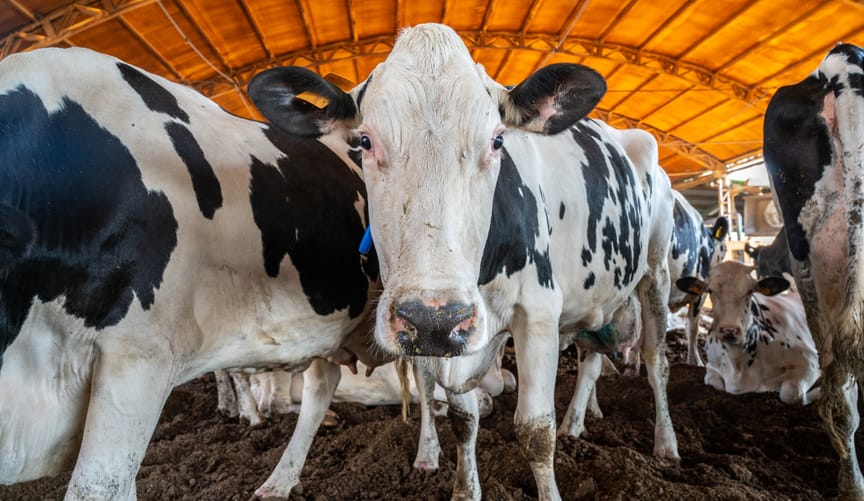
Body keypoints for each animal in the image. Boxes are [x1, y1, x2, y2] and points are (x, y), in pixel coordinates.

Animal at [251, 23, 680, 500]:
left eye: (497, 140)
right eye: (364, 141)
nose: (432, 317)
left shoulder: (538, 312)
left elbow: (535, 431)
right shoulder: (450, 341)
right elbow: (464, 419)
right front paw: (465, 488)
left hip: (656, 272)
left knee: (656, 361)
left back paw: (665, 444)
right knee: (591, 360)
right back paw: (577, 422)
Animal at [676, 261, 820, 403]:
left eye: (750, 291)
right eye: (710, 290)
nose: (729, 330)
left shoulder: (809, 359)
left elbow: (791, 394)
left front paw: (817, 391)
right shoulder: (711, 367)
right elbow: (715, 383)